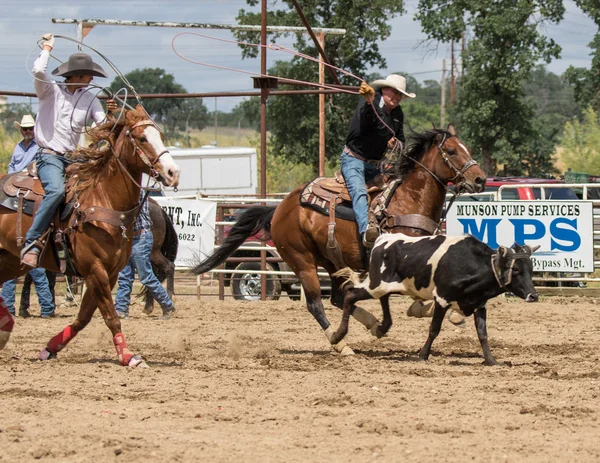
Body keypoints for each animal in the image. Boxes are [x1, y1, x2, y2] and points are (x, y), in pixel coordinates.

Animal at [0, 106, 179, 366]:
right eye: (143, 139)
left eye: (161, 136)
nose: (173, 172)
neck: (102, 200)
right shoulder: (95, 271)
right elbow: (110, 316)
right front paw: (127, 355)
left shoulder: (109, 273)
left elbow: (83, 317)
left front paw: (50, 347)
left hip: (11, 260)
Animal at [195, 127, 486, 356]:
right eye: (452, 150)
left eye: (467, 148)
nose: (480, 179)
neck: (408, 201)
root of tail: (279, 209)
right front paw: (430, 311)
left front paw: (451, 313)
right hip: (302, 262)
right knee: (315, 303)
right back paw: (340, 343)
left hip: (332, 261)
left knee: (337, 296)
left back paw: (368, 324)